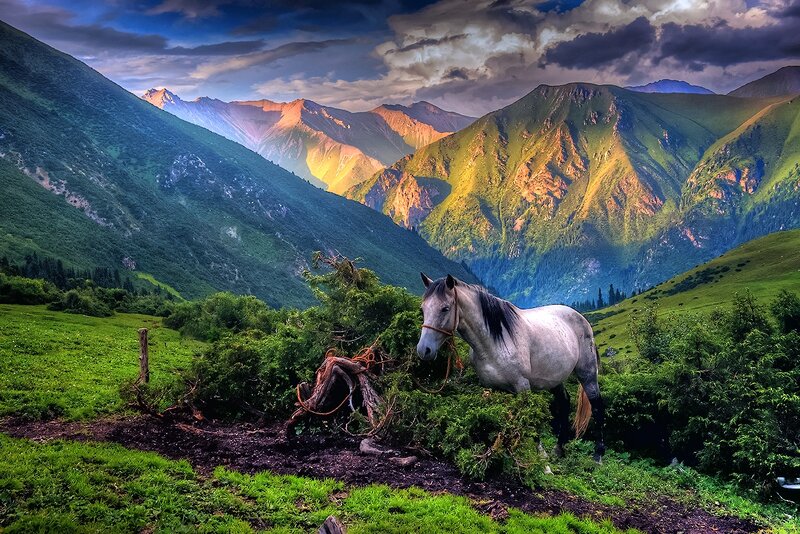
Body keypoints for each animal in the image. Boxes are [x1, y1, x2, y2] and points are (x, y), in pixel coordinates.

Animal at [416, 273, 605, 462]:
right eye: (423, 309)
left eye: (445, 308)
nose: (424, 350)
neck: (495, 341)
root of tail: (580, 318)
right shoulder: (491, 388)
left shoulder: (522, 386)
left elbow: (529, 422)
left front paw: (539, 457)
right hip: (554, 378)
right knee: (564, 403)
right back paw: (559, 449)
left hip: (587, 373)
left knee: (597, 405)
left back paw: (598, 454)